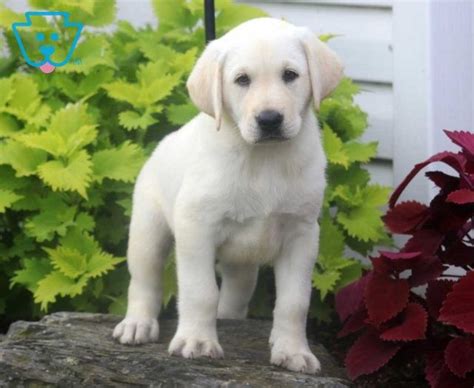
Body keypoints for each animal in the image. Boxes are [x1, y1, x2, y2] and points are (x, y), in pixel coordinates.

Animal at [113, 16, 342, 374]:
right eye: (242, 80)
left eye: (290, 75)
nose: (269, 119)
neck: (263, 159)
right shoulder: (196, 228)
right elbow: (200, 291)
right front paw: (197, 341)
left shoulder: (302, 234)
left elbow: (294, 301)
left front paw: (293, 351)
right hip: (147, 232)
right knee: (144, 280)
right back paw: (138, 324)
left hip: (242, 262)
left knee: (235, 294)